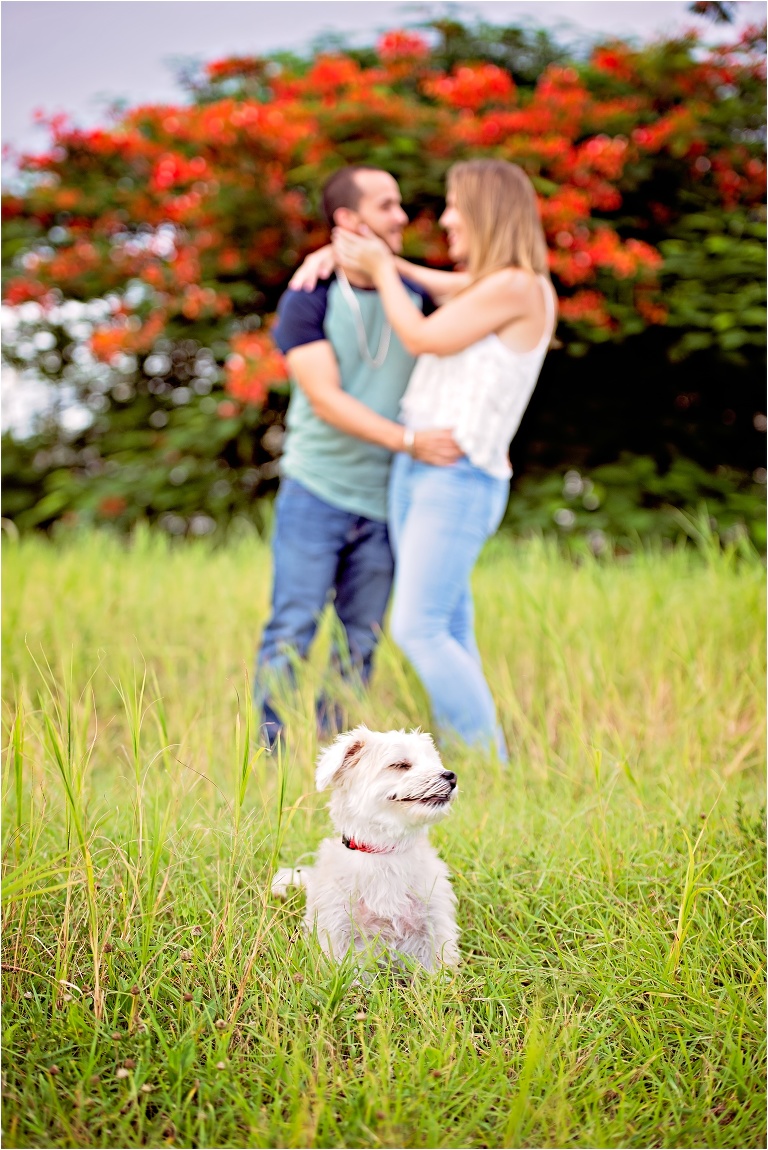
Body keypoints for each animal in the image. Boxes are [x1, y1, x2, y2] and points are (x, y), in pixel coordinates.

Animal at [272, 726, 459, 970]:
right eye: (400, 765)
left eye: (434, 762)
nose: (451, 776)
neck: (384, 852)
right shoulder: (342, 936)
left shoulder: (434, 930)